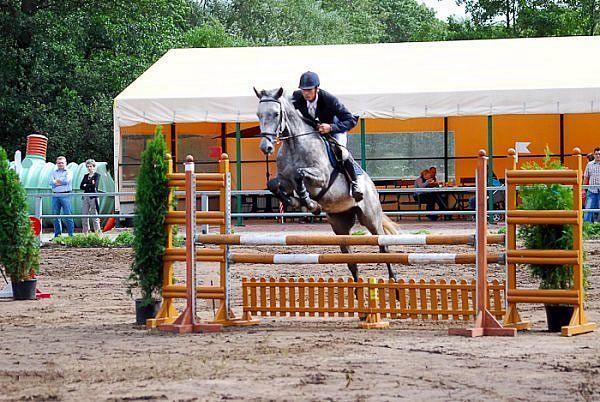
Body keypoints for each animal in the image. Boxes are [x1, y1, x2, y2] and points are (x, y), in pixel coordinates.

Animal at [253, 88, 398, 282]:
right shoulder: (285, 181)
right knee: (350, 258)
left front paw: (309, 202)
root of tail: (372, 186)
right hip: (339, 224)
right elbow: (273, 184)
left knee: (383, 247)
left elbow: (300, 175)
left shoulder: (321, 178)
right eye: (258, 114)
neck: (294, 144)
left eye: (276, 114)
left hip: (371, 218)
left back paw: (393, 281)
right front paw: (298, 202)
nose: (266, 147)